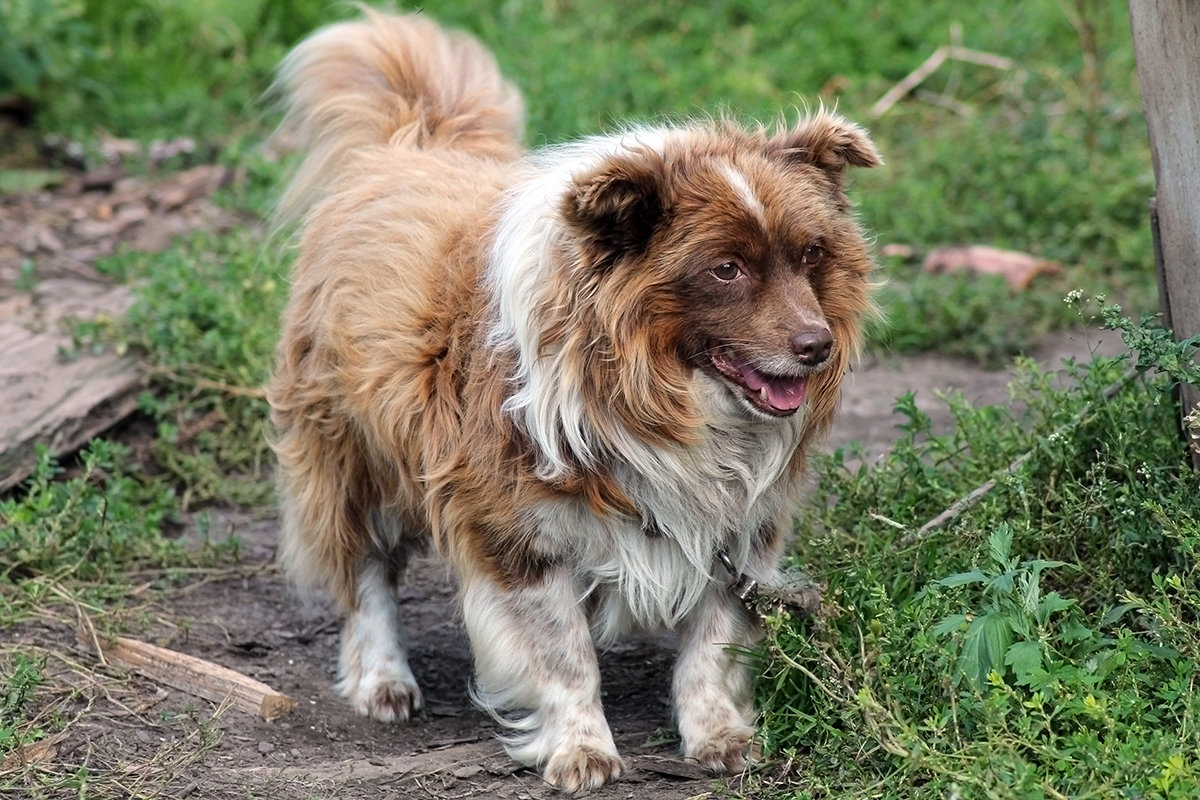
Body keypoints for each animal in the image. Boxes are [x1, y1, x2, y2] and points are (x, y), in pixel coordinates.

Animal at [267, 7, 878, 796]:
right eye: (725, 269)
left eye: (810, 255)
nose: (817, 346)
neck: (663, 397)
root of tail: (409, 144)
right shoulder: (519, 530)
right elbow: (563, 657)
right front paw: (581, 752)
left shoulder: (739, 526)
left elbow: (713, 644)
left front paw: (720, 738)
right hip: (352, 449)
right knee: (366, 573)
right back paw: (383, 682)